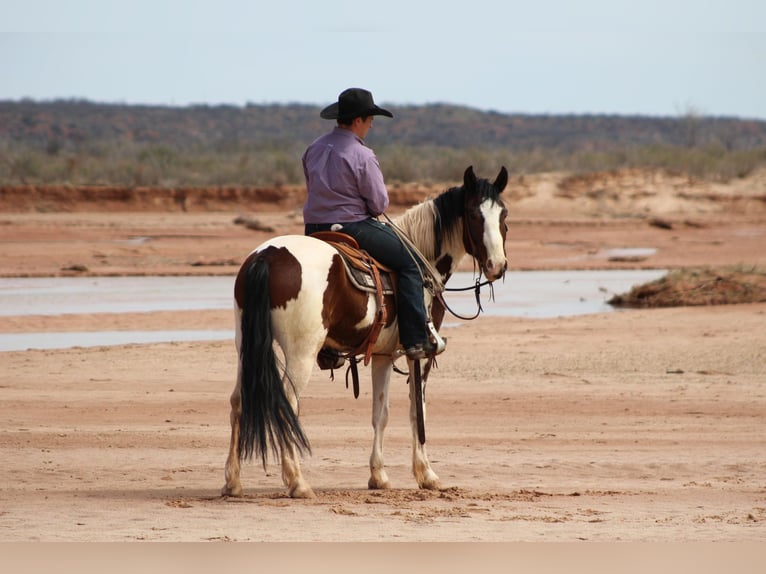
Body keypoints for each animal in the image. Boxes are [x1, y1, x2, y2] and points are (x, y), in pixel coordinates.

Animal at [222, 165, 510, 500]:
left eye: (503, 215)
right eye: (475, 215)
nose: (497, 266)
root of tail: (266, 256)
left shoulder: (384, 355)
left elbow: (380, 414)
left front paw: (379, 476)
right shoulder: (421, 354)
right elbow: (417, 412)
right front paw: (427, 475)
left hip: (245, 346)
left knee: (238, 400)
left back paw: (233, 481)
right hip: (300, 352)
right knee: (287, 404)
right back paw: (298, 482)